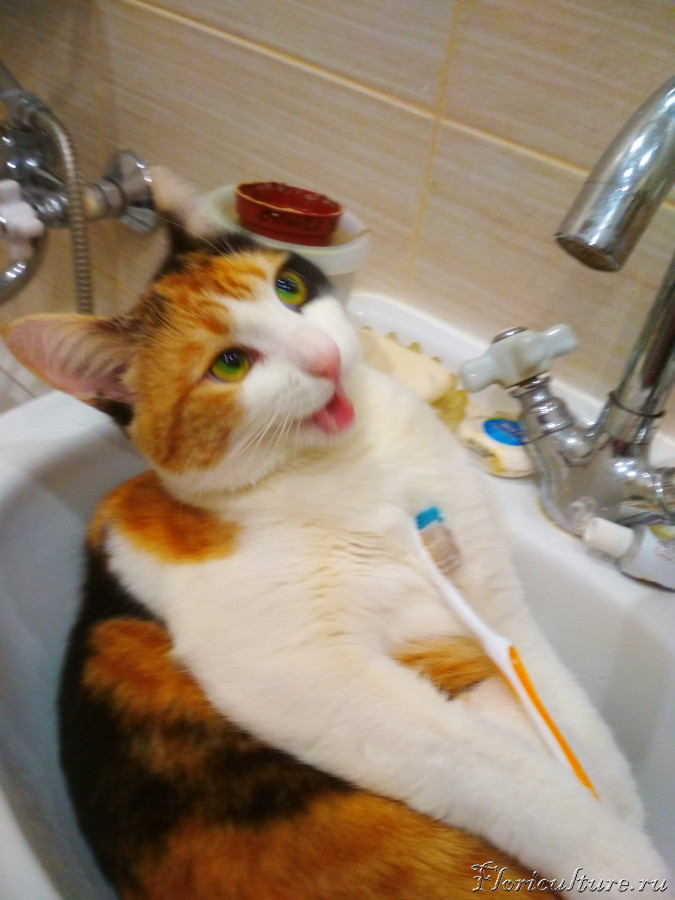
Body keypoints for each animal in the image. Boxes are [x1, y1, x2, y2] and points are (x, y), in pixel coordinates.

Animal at [1, 167, 669, 900]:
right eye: (229, 364)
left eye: (289, 288)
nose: (322, 357)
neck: (356, 466)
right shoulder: (300, 671)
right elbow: (502, 773)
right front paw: (622, 860)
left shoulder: (498, 605)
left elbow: (574, 721)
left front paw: (615, 803)